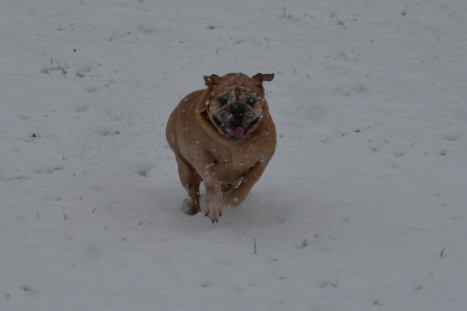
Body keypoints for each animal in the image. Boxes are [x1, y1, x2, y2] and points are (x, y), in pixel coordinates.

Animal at [166, 72, 276, 224]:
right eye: (223, 100)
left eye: (250, 101)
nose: (237, 110)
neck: (236, 144)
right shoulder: (198, 154)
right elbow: (211, 179)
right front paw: (214, 205)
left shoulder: (263, 158)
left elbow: (247, 184)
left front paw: (229, 201)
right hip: (186, 173)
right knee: (194, 194)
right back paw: (197, 212)